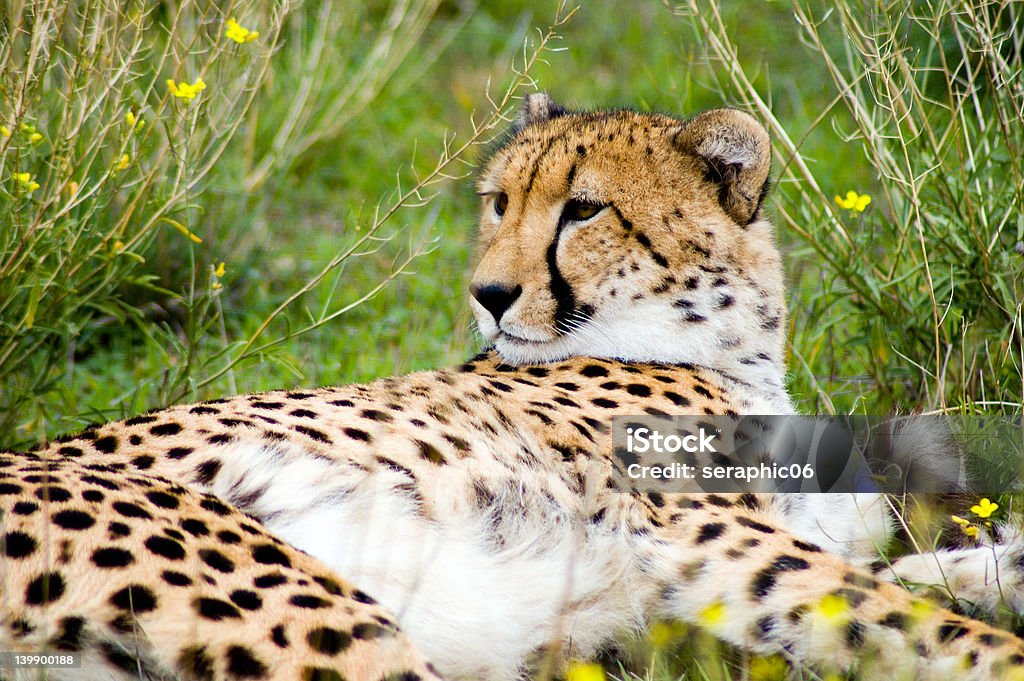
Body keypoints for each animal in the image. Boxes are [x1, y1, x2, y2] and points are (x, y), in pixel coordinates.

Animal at [6, 95, 1024, 679]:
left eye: (584, 209)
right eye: (500, 201)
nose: (488, 295)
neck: (725, 347)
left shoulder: (693, 599)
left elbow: (900, 580)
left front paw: (994, 569)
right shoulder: (700, 543)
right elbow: (911, 617)